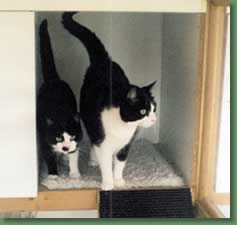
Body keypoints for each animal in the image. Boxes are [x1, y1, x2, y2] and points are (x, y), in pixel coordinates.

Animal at [36, 18, 82, 178]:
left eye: (72, 137)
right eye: (58, 138)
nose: (65, 148)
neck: (60, 113)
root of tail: (54, 79)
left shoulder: (77, 140)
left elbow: (74, 155)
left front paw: (74, 173)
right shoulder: (44, 138)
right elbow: (48, 155)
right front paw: (53, 175)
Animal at [62, 11, 157, 188]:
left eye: (154, 109)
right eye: (143, 111)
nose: (154, 119)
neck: (123, 127)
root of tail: (104, 60)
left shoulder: (126, 144)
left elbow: (120, 163)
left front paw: (118, 180)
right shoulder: (102, 141)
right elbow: (105, 163)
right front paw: (108, 183)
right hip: (90, 119)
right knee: (93, 141)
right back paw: (94, 161)